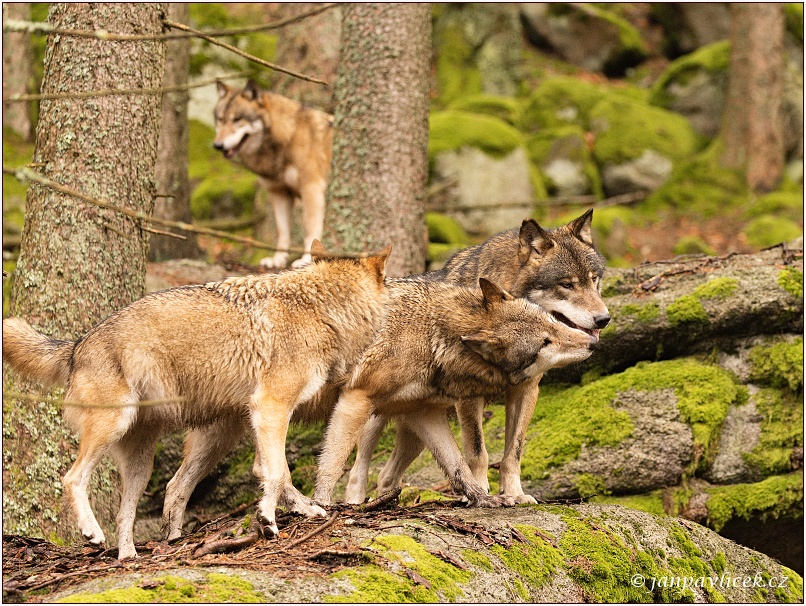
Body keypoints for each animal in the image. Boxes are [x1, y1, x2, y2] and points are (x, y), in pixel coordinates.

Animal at [0, 242, 392, 560]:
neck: (321, 310)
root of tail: (78, 344)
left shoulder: (262, 415)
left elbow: (272, 473)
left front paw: (305, 510)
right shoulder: (272, 406)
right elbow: (279, 472)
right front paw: (268, 521)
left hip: (155, 458)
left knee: (136, 508)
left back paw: (131, 557)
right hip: (115, 426)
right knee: (72, 478)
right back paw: (92, 533)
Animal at [215, 79, 334, 270]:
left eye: (237, 119)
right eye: (220, 119)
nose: (217, 145)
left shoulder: (312, 188)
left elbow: (310, 228)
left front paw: (305, 259)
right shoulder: (278, 192)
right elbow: (283, 231)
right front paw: (277, 260)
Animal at [342, 211, 612, 506]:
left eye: (594, 280)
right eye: (566, 284)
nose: (604, 319)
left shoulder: (526, 391)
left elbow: (513, 452)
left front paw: (515, 493)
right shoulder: (469, 399)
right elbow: (477, 451)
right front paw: (483, 492)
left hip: (416, 429)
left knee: (386, 475)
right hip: (374, 416)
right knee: (358, 469)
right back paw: (355, 503)